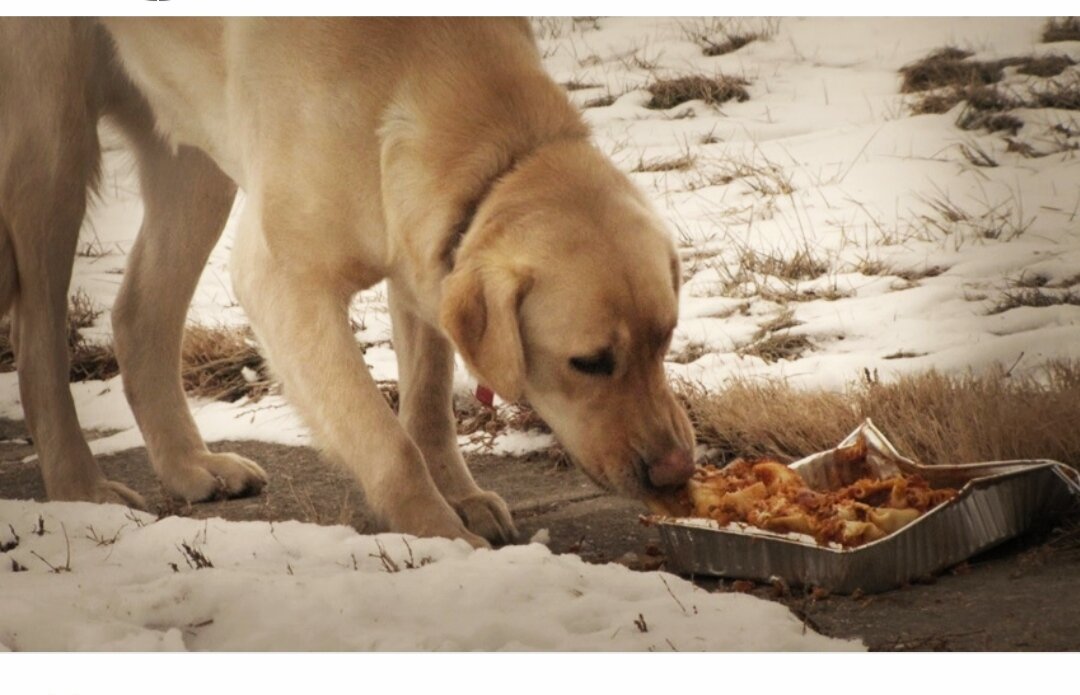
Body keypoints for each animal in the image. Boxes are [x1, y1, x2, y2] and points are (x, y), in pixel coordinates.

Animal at [0, 19, 691, 546]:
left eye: (665, 341)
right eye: (589, 362)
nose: (676, 471)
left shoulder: (422, 254)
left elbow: (428, 404)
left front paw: (461, 497)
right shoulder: (284, 281)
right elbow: (388, 443)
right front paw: (442, 536)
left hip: (191, 160)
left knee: (137, 314)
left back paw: (190, 465)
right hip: (51, 142)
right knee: (38, 343)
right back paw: (81, 489)